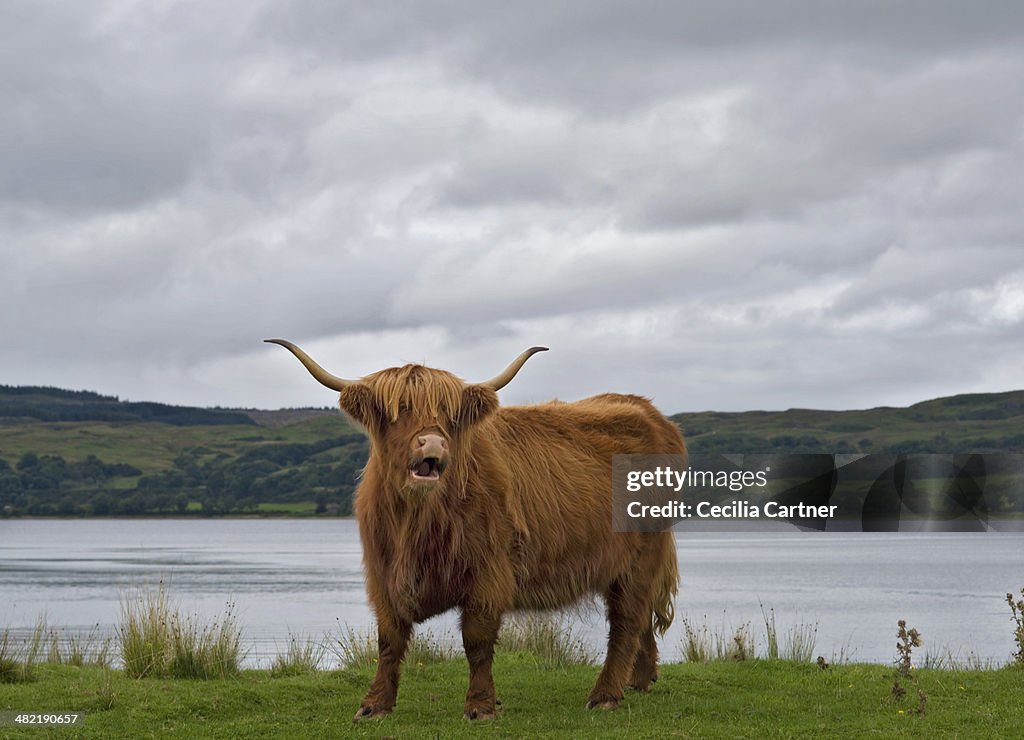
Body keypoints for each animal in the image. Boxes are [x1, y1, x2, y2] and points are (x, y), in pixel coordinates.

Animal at [264, 337, 684, 720]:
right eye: (399, 409)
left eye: (449, 415)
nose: (433, 443)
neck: (417, 524)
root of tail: (649, 410)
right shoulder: (382, 575)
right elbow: (389, 640)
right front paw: (374, 705)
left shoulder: (488, 574)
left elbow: (477, 642)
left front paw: (481, 706)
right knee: (638, 617)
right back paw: (639, 680)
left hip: (642, 555)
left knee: (626, 620)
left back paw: (606, 694)